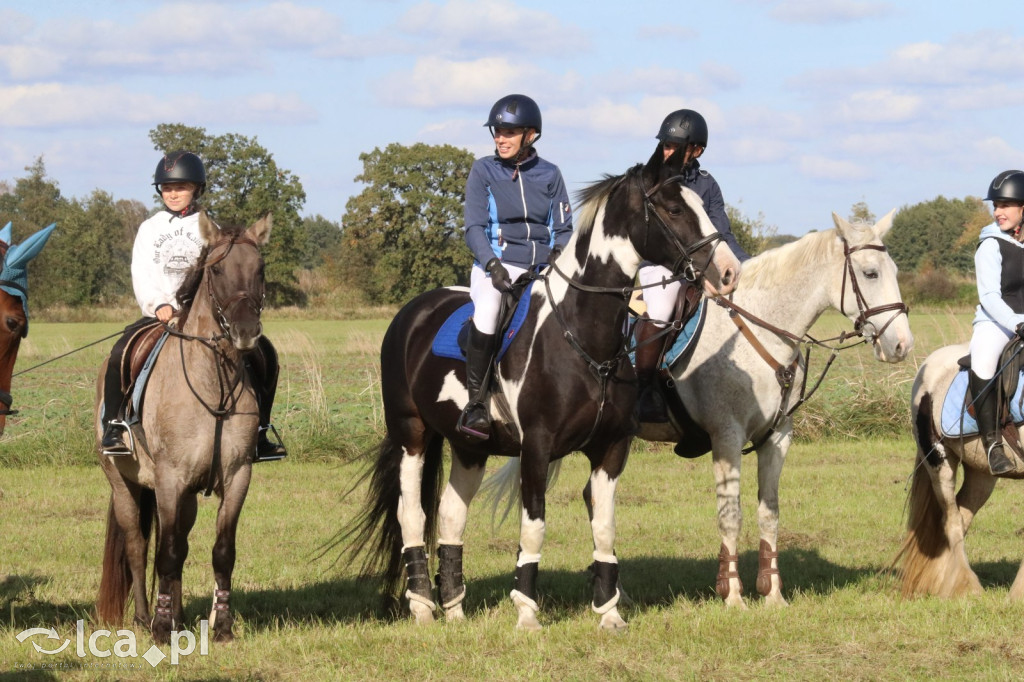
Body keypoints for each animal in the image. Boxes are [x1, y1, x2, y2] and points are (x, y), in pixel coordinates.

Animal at [95, 212, 272, 643]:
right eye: (217, 269)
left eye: (259, 269)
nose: (246, 332)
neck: (213, 382)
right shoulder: (169, 478)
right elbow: (165, 553)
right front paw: (160, 628)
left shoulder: (236, 475)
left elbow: (221, 551)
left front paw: (221, 625)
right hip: (124, 485)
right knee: (139, 546)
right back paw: (146, 618)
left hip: (187, 494)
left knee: (180, 541)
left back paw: (175, 614)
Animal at [339, 151, 741, 630]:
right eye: (676, 209)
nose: (729, 272)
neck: (582, 335)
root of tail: (411, 313)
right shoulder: (536, 447)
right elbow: (534, 527)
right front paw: (527, 612)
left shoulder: (611, 448)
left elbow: (604, 526)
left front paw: (609, 612)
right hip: (411, 436)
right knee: (412, 515)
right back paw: (422, 606)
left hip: (469, 446)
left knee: (452, 514)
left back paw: (454, 608)